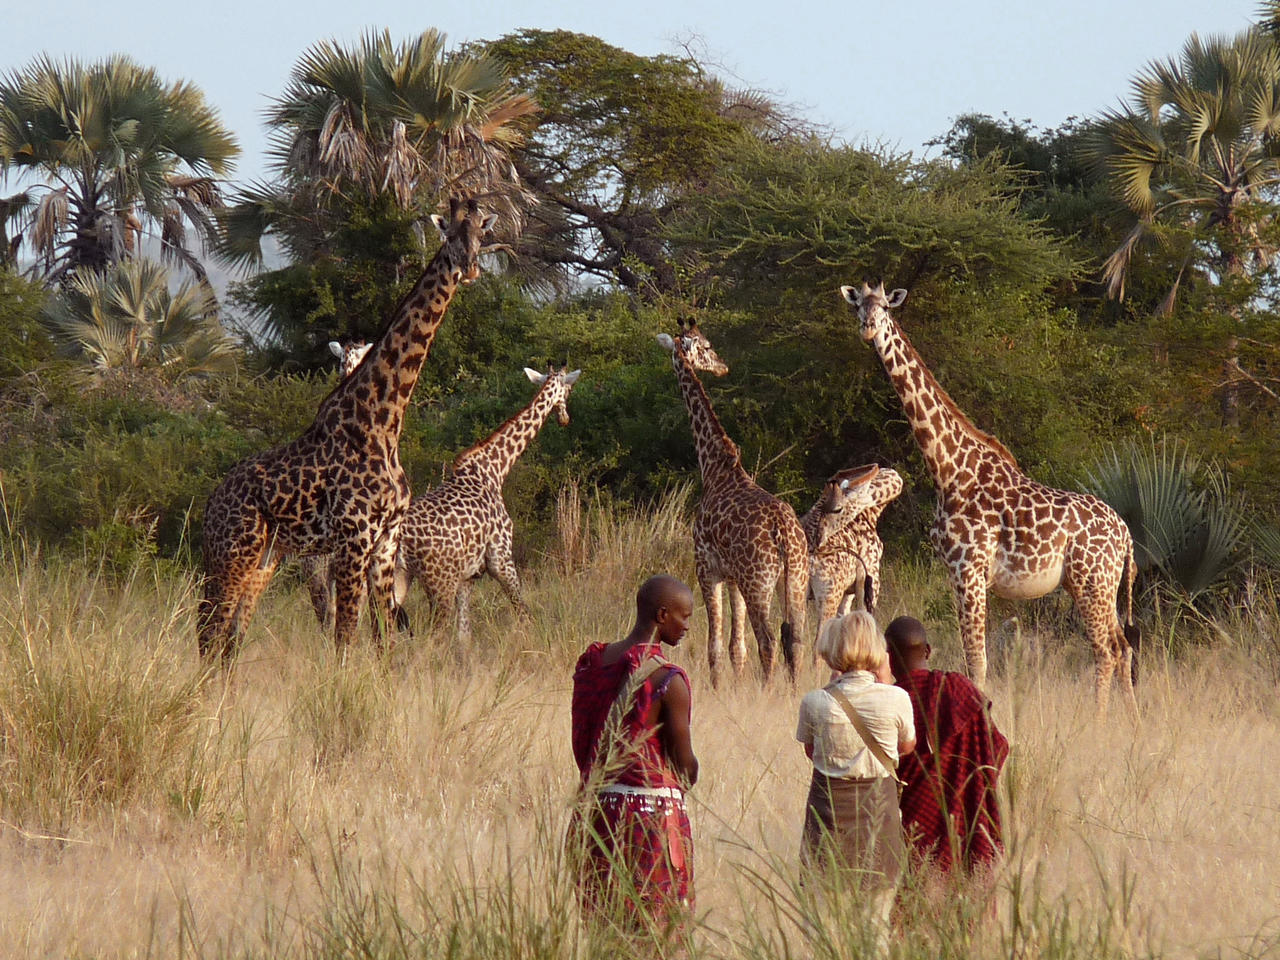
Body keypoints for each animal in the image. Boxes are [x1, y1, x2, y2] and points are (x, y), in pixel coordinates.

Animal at [197, 196, 497, 659]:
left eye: (483, 232)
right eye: (449, 235)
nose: (470, 268)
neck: (383, 422)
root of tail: (211, 502)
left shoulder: (385, 544)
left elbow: (385, 639)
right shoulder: (353, 540)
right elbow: (345, 638)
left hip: (265, 559)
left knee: (230, 637)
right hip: (232, 552)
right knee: (209, 633)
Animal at [393, 365, 581, 645]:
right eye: (569, 390)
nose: (565, 419)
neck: (494, 469)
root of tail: (400, 536)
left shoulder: (468, 576)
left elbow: (464, 635)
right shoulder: (501, 559)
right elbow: (524, 613)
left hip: (396, 575)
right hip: (439, 581)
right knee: (433, 635)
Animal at [656, 319, 809, 685]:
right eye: (709, 346)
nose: (722, 366)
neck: (715, 466)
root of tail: (784, 533)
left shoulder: (706, 568)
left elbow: (715, 645)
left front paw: (717, 688)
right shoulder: (732, 577)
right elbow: (736, 648)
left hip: (759, 583)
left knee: (768, 640)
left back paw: (767, 691)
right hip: (795, 580)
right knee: (795, 639)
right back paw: (793, 690)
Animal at [799, 464, 903, 636]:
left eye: (835, 509)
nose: (814, 538)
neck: (871, 514)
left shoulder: (848, 594)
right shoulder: (870, 582)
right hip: (829, 596)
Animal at [840, 281, 1140, 716]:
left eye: (885, 309)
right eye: (859, 307)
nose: (868, 329)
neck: (948, 469)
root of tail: (1126, 535)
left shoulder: (970, 569)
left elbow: (976, 660)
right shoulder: (955, 573)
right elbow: (973, 657)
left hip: (1092, 582)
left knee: (1107, 650)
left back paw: (1098, 720)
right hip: (1096, 585)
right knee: (1123, 646)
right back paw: (1133, 720)